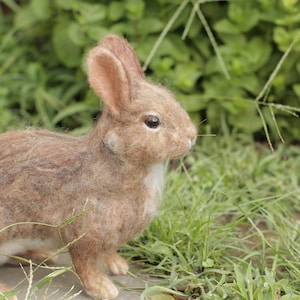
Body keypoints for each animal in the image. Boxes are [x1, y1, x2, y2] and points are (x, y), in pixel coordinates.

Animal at [0, 34, 198, 298]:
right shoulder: (86, 234)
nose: (192, 136)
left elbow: (108, 252)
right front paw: (104, 289)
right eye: (152, 121)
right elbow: (85, 264)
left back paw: (41, 256)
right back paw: (6, 289)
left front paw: (119, 266)